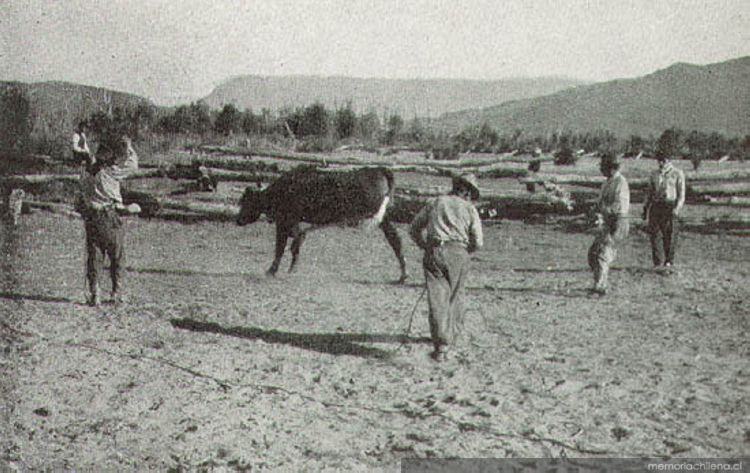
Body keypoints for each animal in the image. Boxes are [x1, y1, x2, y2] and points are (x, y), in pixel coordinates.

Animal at [238, 166, 408, 282]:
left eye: (245, 202)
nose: (238, 219)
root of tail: (378, 169)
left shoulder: (284, 222)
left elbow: (281, 247)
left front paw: (272, 270)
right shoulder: (294, 223)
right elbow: (296, 243)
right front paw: (293, 268)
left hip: (381, 215)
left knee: (395, 240)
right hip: (385, 218)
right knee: (396, 240)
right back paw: (403, 275)